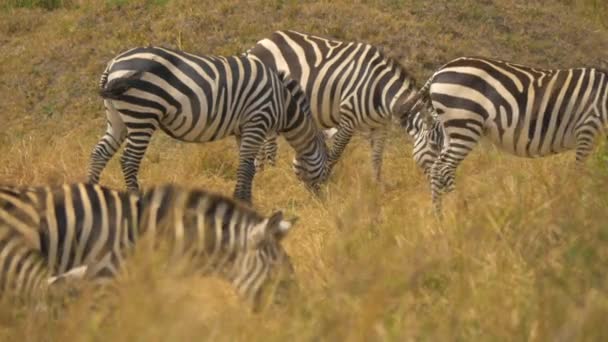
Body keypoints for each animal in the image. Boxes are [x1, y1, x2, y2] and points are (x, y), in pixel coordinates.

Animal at [86, 46, 328, 203]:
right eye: (327, 169)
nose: (322, 199)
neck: (282, 102)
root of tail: (113, 63)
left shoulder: (243, 129)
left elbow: (249, 167)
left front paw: (245, 200)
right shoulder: (257, 120)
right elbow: (247, 166)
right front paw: (242, 200)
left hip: (118, 119)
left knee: (99, 154)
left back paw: (91, 191)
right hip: (142, 114)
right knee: (129, 161)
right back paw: (137, 201)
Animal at [245, 30, 420, 183]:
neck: (378, 88)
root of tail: (255, 47)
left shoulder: (380, 125)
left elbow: (377, 157)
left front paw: (377, 186)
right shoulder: (348, 118)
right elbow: (335, 154)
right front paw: (324, 179)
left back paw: (261, 173)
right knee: (267, 145)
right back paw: (269, 173)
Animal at [400, 56, 608, 214]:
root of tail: (439, 71)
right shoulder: (588, 128)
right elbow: (580, 170)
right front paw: (578, 200)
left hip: (451, 130)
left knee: (440, 168)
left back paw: (442, 218)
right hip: (465, 124)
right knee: (442, 167)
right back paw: (461, 213)